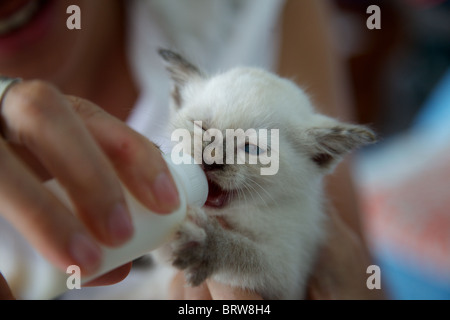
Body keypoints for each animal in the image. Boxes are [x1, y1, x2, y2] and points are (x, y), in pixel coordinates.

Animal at [156, 48, 374, 298]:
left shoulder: (292, 277)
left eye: (252, 149)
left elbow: (247, 255)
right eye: (201, 127)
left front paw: (208, 244)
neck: (242, 214)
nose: (211, 160)